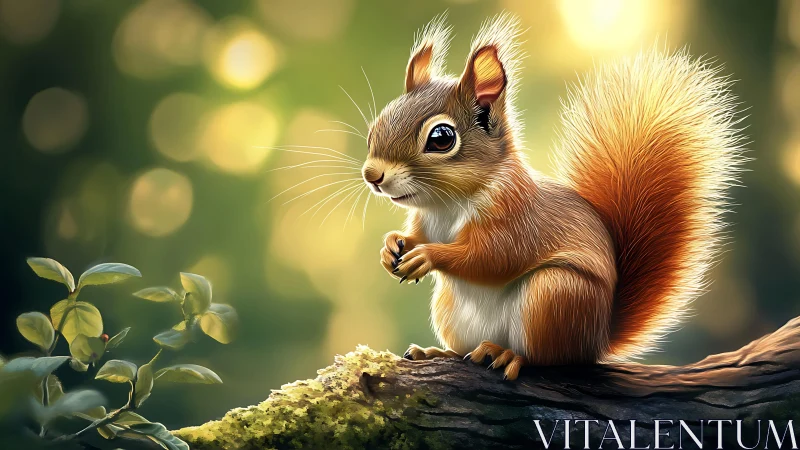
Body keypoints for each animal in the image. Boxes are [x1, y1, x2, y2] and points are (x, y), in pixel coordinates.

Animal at [360, 13, 745, 380]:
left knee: (547, 357)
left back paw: (508, 355)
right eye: (375, 127)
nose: (372, 175)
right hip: (451, 310)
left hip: (556, 297)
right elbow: (416, 235)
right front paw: (392, 246)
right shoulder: (425, 220)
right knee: (465, 349)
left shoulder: (516, 219)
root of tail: (597, 340)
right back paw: (439, 352)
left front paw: (427, 256)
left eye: (441, 138)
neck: (446, 203)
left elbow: (490, 257)